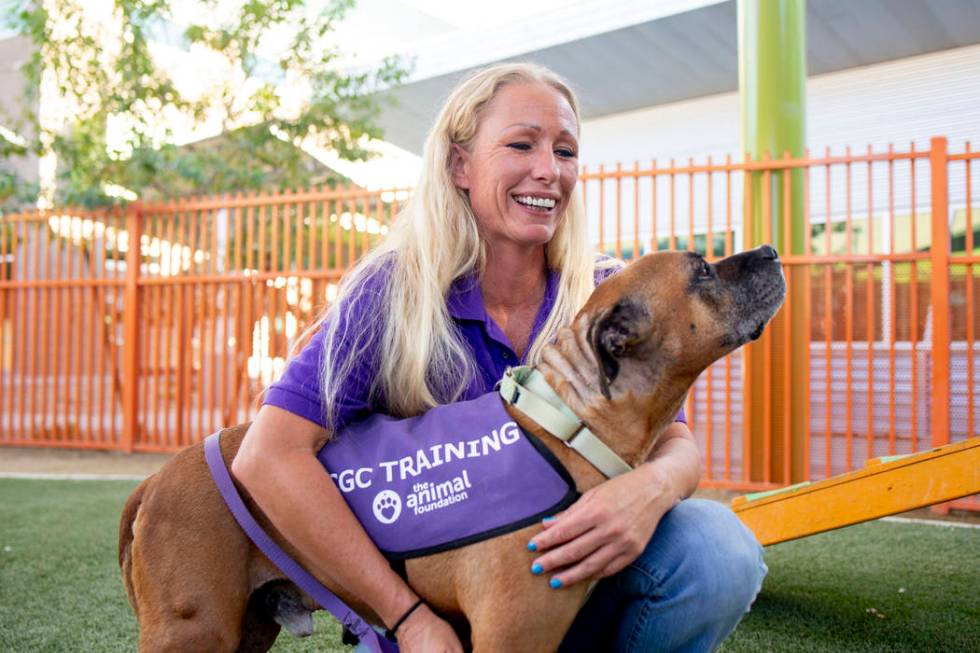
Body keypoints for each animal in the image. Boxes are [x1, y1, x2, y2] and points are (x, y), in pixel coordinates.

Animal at [118, 246, 784, 652]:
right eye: (701, 272)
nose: (772, 252)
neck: (566, 428)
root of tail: (153, 481)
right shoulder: (512, 638)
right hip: (194, 633)